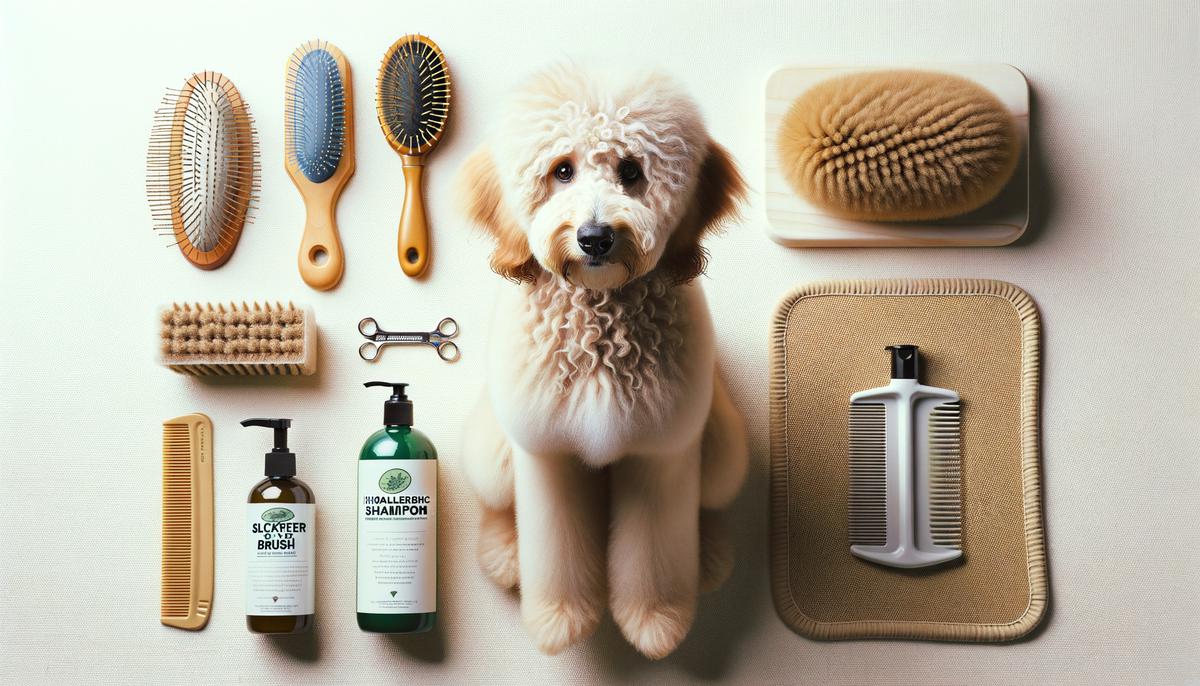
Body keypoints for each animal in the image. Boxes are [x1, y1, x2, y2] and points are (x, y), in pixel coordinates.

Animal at [453, 65, 744, 657]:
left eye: (631, 171)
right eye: (561, 170)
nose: (594, 237)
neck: (599, 321)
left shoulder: (663, 452)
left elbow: (656, 550)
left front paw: (656, 620)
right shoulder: (546, 452)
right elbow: (556, 548)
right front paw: (560, 617)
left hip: (722, 449)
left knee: (709, 504)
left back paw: (707, 556)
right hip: (491, 448)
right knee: (497, 505)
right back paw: (506, 554)